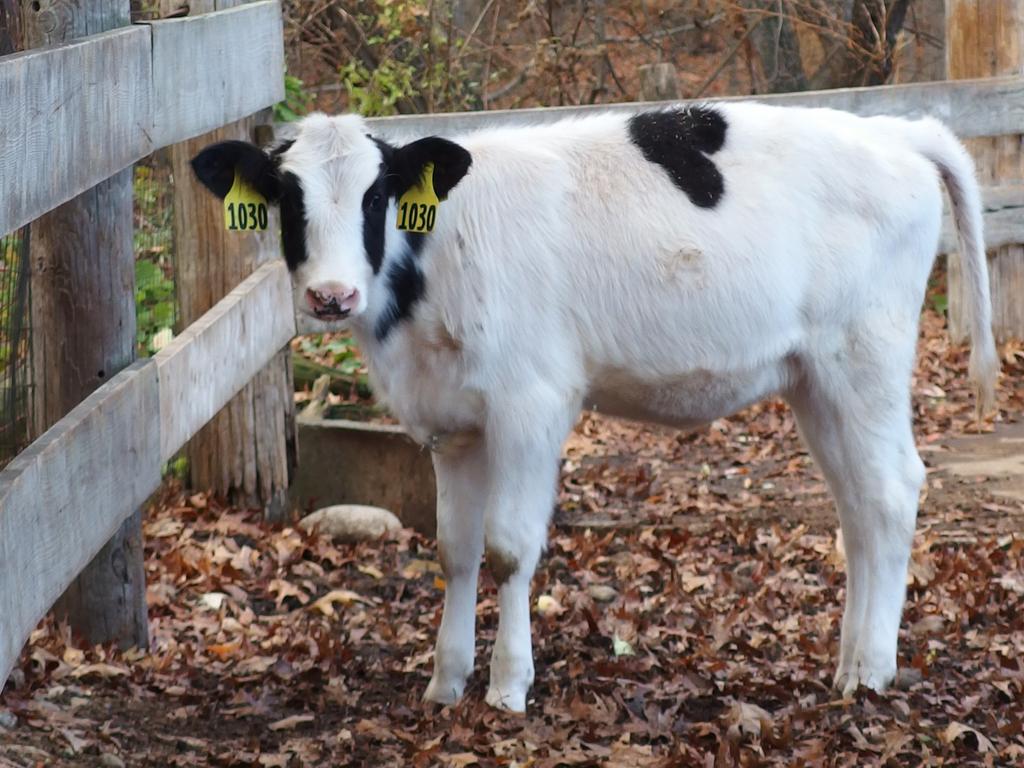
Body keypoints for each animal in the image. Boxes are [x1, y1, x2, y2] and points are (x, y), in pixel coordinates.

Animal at [190, 103, 991, 716]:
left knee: (890, 493)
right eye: (287, 199)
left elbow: (509, 548)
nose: (332, 295)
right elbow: (456, 549)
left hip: (863, 359)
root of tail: (898, 131)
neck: (435, 264)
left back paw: (871, 671)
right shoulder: (454, 426)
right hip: (815, 380)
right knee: (856, 508)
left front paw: (507, 687)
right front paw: (445, 682)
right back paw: (849, 659)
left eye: (375, 196)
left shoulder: (530, 404)